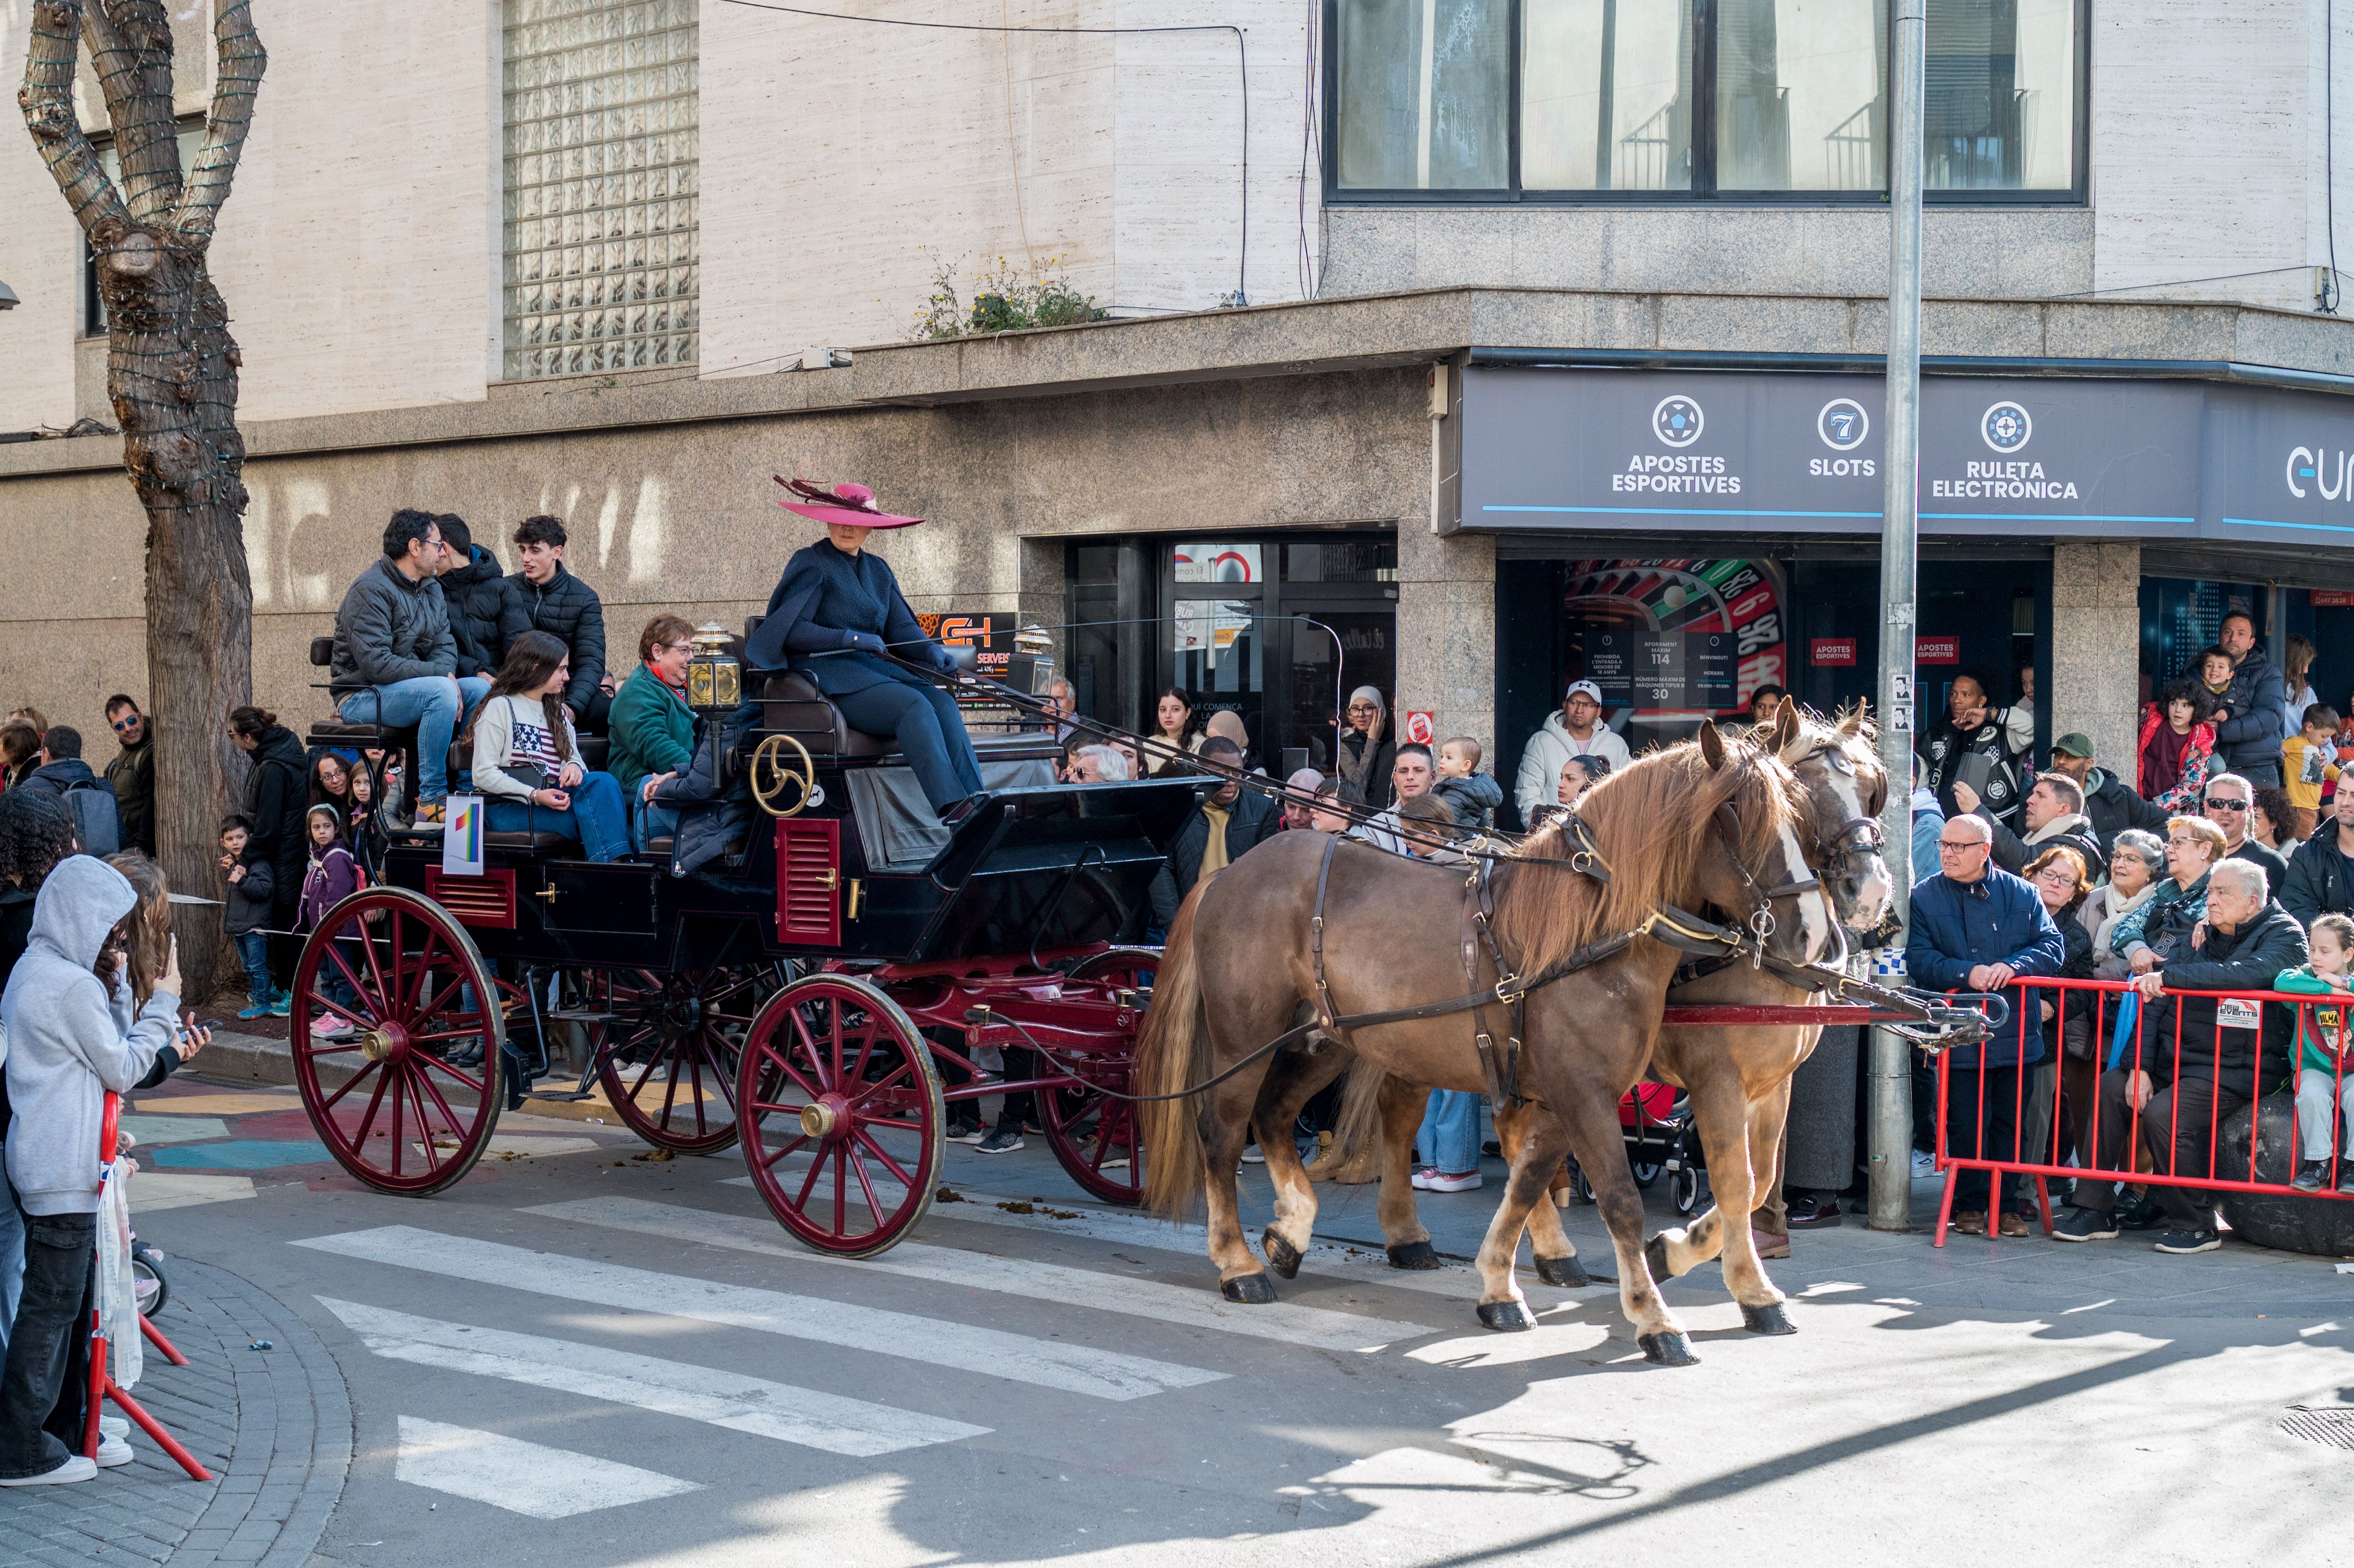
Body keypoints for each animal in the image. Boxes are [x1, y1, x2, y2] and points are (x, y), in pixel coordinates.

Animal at [1134, 715, 1817, 1356]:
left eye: (1798, 812)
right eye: (1736, 815)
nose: (1810, 931)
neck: (1585, 934)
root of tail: (1227, 876)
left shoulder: (1562, 1096)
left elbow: (1527, 1182)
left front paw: (1500, 1287)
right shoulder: (1585, 1093)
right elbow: (1620, 1198)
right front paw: (1655, 1318)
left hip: (1328, 1037)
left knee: (1275, 1112)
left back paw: (1292, 1228)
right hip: (1242, 1040)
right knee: (1221, 1133)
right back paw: (1237, 1262)